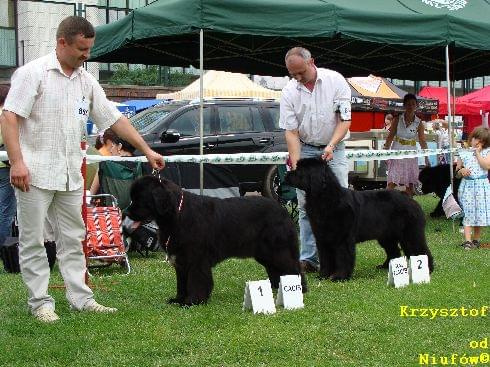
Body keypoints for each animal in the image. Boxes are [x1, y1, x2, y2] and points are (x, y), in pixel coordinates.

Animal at [125, 177, 306, 306]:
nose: (126, 212)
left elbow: (196, 281)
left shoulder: (196, 259)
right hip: (265, 253)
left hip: (278, 250)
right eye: (132, 198)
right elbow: (181, 283)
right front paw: (178, 300)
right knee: (276, 269)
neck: (176, 215)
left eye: (140, 198)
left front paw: (193, 301)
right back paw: (276, 287)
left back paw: (298, 289)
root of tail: (283, 211)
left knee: (293, 267)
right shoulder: (181, 261)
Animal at [286, 157, 434, 282]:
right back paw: (386, 266)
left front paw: (339, 277)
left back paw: (428, 268)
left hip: (410, 233)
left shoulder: (342, 238)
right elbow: (325, 258)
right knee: (394, 251)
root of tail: (411, 200)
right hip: (386, 236)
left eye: (300, 170)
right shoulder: (322, 238)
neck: (324, 198)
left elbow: (343, 257)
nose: (287, 175)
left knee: (420, 249)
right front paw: (323, 275)